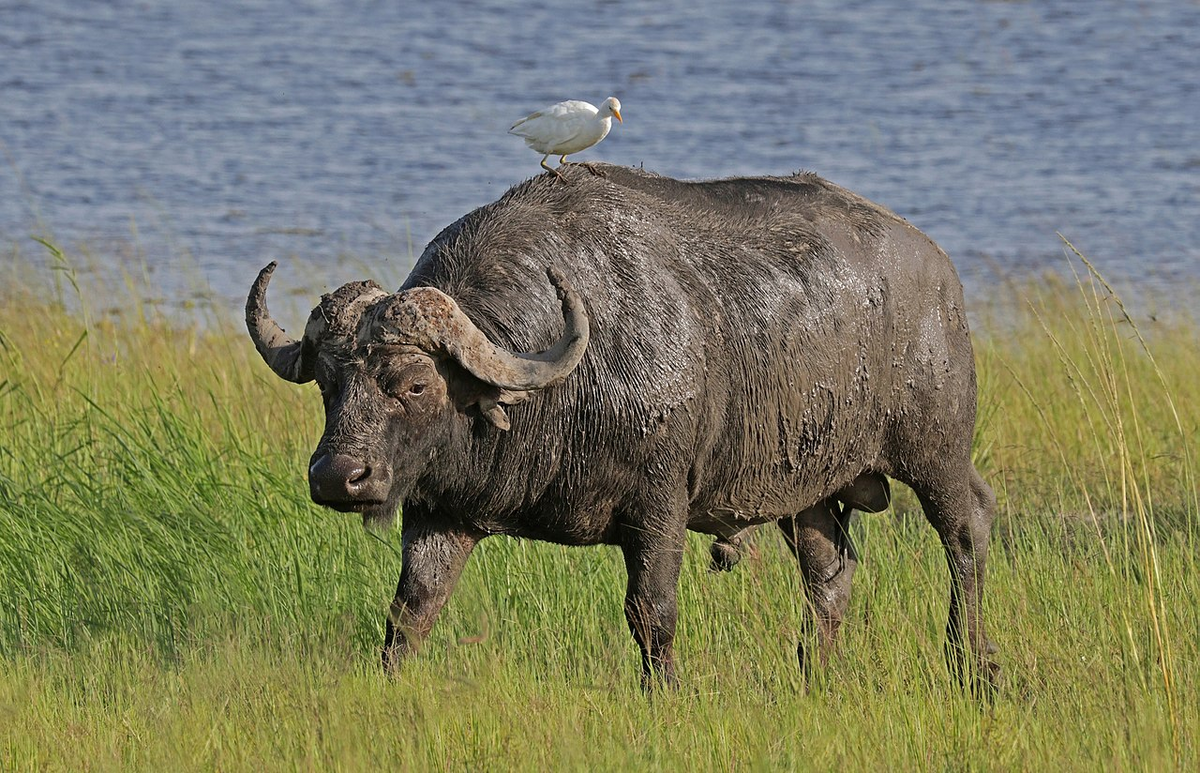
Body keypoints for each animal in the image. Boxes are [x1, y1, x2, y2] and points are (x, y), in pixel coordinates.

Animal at [241, 162, 993, 686]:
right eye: (330, 384)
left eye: (415, 383)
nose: (338, 477)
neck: (561, 390)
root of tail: (938, 269)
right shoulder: (439, 511)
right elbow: (411, 611)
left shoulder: (659, 506)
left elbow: (650, 612)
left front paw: (666, 692)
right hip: (806, 489)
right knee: (830, 573)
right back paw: (810, 675)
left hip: (936, 452)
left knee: (967, 534)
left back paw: (974, 666)